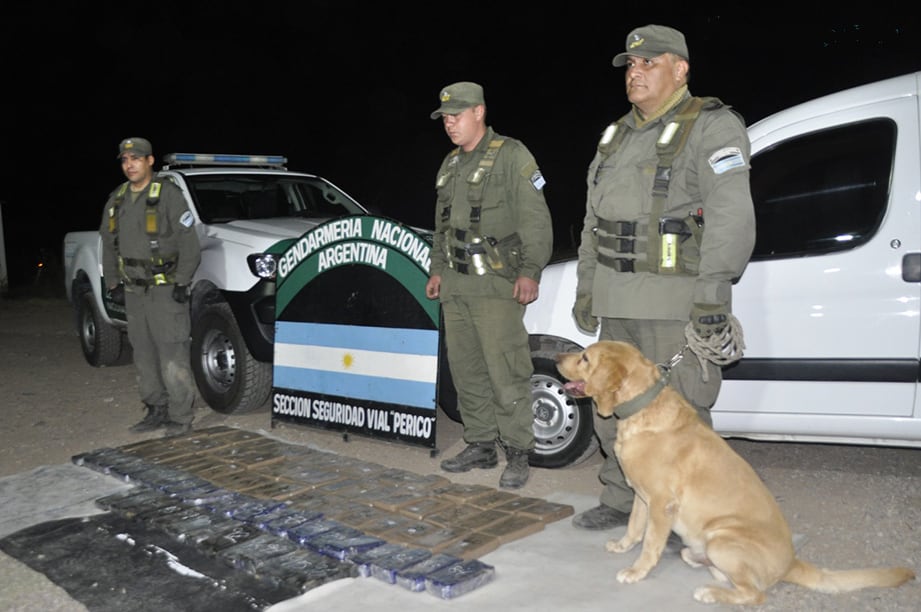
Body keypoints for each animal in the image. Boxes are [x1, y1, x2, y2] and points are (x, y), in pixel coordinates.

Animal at [552, 342, 912, 604]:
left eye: (585, 357)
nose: (555, 356)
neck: (642, 409)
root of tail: (792, 562)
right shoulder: (642, 497)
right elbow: (634, 528)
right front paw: (623, 546)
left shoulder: (661, 504)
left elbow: (651, 544)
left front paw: (637, 571)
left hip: (723, 540)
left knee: (755, 595)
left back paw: (710, 593)